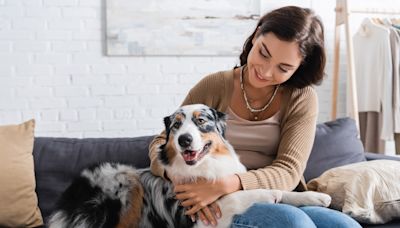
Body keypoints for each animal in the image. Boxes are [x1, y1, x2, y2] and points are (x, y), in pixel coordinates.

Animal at [48, 104, 332, 228]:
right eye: (176, 125)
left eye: (201, 121)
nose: (184, 139)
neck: (207, 165)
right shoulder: (205, 218)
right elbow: (241, 194)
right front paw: (269, 194)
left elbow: (277, 189)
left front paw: (315, 196)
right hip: (122, 178)